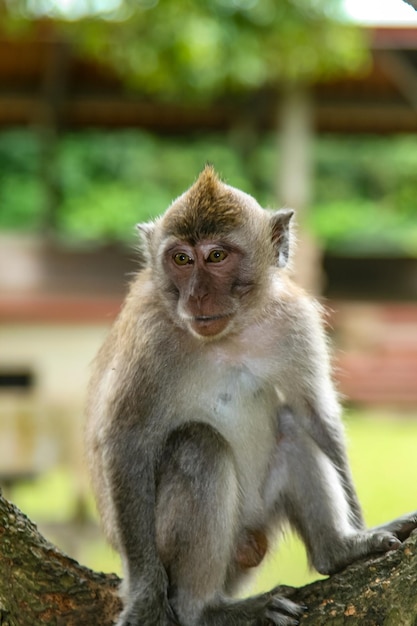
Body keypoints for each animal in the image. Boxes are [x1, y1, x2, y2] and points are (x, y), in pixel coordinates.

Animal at [86, 166, 416, 624]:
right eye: (182, 259)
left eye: (217, 257)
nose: (197, 295)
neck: (232, 333)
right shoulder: (149, 336)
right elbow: (126, 440)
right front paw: (146, 600)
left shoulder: (295, 319)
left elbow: (314, 415)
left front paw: (360, 530)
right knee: (199, 446)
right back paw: (205, 610)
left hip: (259, 515)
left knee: (292, 427)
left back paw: (337, 550)